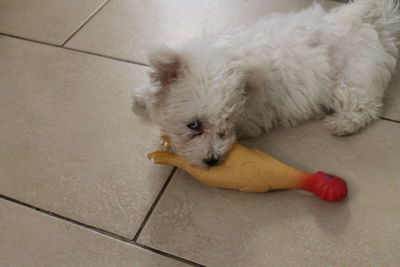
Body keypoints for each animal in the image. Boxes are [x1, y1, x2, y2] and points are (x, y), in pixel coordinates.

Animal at [134, 0, 400, 168]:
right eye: (193, 125)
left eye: (227, 122)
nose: (213, 160)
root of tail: (375, 24)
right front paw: (142, 95)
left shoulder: (253, 118)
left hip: (354, 77)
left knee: (365, 106)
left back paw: (341, 124)